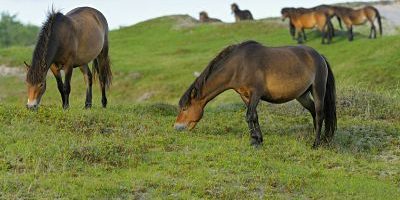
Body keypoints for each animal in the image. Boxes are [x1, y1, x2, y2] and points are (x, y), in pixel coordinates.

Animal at [175, 40, 338, 148]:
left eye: (184, 108)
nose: (177, 127)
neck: (239, 65)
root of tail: (319, 56)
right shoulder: (245, 95)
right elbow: (254, 116)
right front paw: (258, 139)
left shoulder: (256, 94)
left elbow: (249, 116)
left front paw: (254, 140)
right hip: (302, 95)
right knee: (313, 112)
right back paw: (317, 136)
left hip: (317, 89)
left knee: (319, 114)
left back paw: (316, 143)